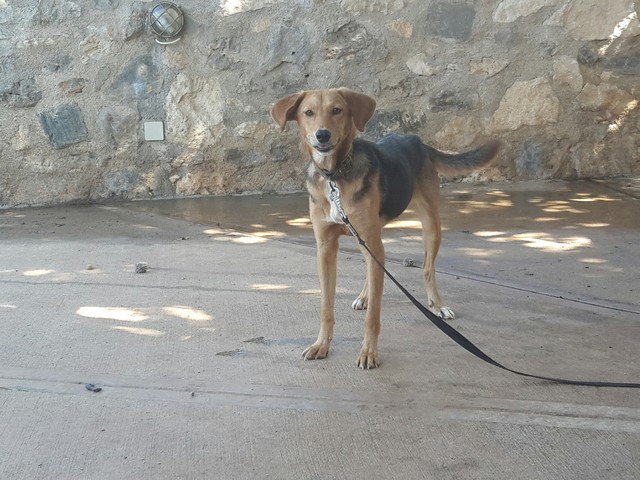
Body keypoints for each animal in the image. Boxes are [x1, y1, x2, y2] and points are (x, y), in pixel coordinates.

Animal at [271, 88, 500, 369]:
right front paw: (321, 345)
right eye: (308, 112)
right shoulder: (325, 248)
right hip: (369, 237)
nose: (322, 135)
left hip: (429, 224)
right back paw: (365, 296)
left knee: (427, 268)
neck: (335, 176)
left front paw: (369, 352)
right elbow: (326, 306)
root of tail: (415, 140)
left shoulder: (369, 240)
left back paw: (437, 305)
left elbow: (373, 316)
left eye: (337, 110)